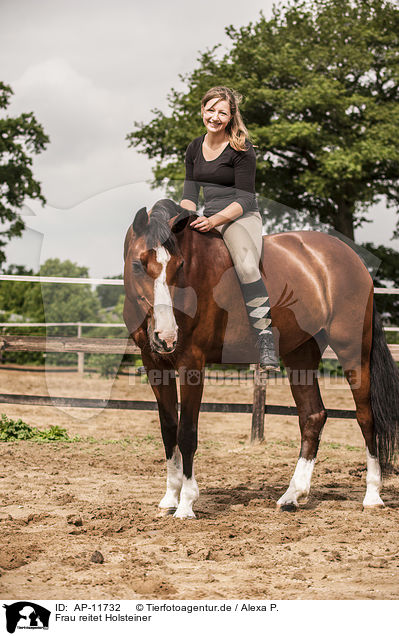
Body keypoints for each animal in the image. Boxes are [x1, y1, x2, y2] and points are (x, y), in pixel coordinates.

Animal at [124, 198, 399, 516]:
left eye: (179, 265)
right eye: (137, 264)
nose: (166, 337)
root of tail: (352, 259)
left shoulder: (191, 364)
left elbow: (187, 432)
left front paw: (186, 504)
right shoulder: (155, 364)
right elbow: (169, 430)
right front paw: (170, 498)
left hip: (353, 350)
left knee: (366, 416)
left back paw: (372, 495)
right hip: (301, 354)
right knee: (313, 416)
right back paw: (292, 495)